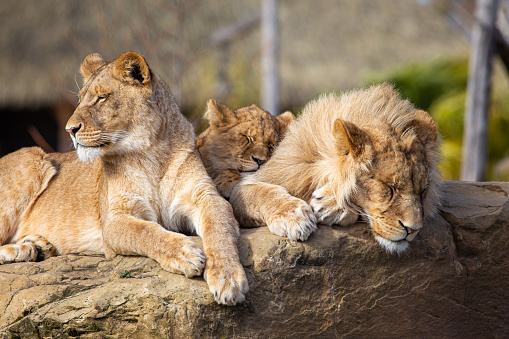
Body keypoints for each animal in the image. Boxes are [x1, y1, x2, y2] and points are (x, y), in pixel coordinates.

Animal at [0, 51, 247, 306]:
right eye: (80, 99)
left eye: (101, 98)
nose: (70, 129)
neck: (151, 153)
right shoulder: (114, 220)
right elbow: (146, 232)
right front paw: (185, 254)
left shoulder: (206, 197)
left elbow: (219, 231)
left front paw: (227, 278)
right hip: (31, 157)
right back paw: (23, 250)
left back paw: (38, 246)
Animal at [230, 84, 440, 255]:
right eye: (389, 188)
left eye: (422, 192)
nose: (413, 230)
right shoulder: (246, 187)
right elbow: (263, 194)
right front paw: (295, 218)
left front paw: (331, 204)